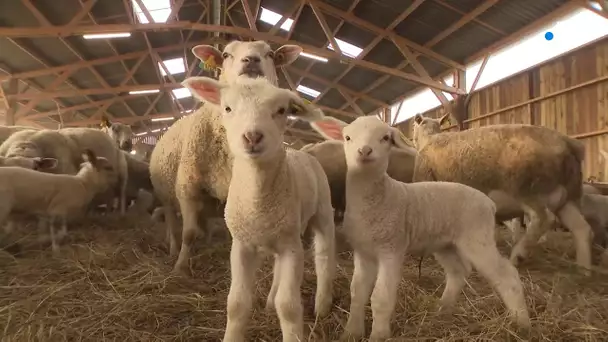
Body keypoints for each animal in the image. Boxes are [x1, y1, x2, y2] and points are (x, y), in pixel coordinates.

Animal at [180, 75, 338, 342]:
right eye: (227, 108)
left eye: (282, 110)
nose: (253, 136)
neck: (258, 202)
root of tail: (299, 150)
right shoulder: (242, 245)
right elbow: (236, 304)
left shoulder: (292, 247)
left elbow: (289, 307)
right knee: (277, 268)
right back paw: (271, 301)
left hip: (323, 211)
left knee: (325, 255)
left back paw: (322, 305)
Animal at [314, 117, 532, 340]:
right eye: (347, 137)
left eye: (385, 138)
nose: (365, 151)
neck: (378, 196)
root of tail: (489, 203)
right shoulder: (363, 251)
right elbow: (357, 292)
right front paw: (351, 333)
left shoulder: (391, 249)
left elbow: (381, 298)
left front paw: (378, 335)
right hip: (445, 244)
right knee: (458, 271)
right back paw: (443, 309)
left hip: (478, 238)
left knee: (507, 275)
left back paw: (522, 324)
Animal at [406, 113, 592, 272]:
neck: (429, 138)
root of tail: (567, 142)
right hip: (566, 197)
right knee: (581, 228)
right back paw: (583, 268)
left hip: (527, 188)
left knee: (543, 218)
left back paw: (518, 256)